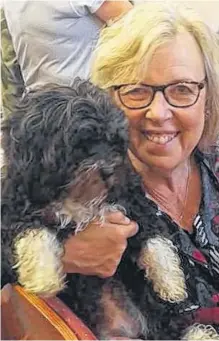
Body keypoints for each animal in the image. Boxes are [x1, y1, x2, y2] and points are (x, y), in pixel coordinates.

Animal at [1, 79, 217, 338]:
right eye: (82, 142)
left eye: (114, 141)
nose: (110, 170)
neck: (78, 195)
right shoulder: (14, 212)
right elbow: (36, 234)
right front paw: (43, 278)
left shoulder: (133, 205)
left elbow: (156, 241)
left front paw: (172, 284)